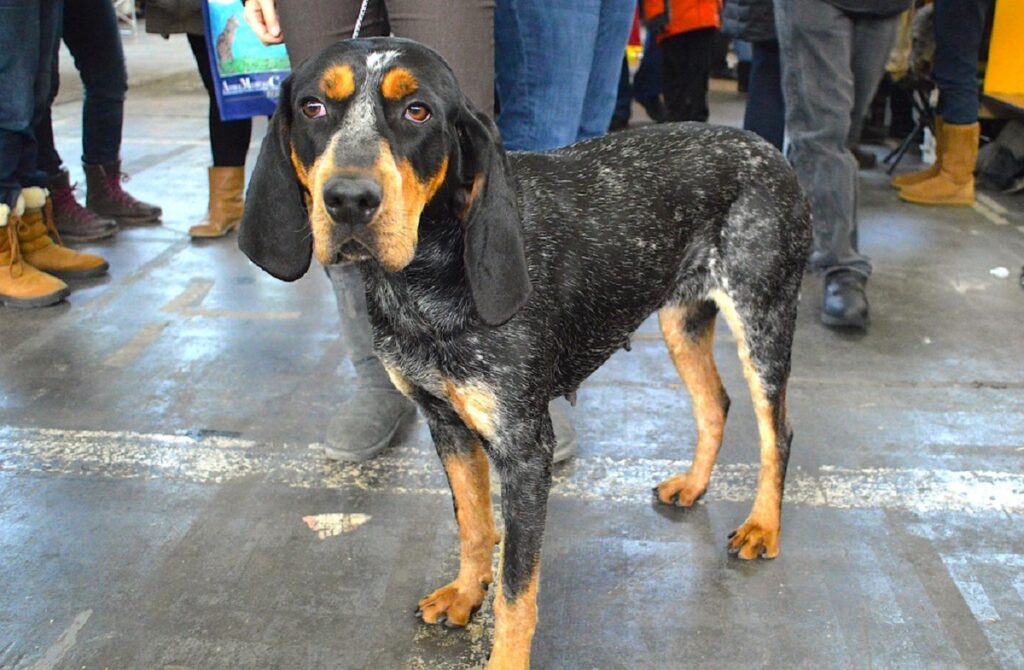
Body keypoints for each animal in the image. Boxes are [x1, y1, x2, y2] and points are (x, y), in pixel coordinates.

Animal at [235, 36, 811, 670]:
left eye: (418, 111)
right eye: (312, 107)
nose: (349, 200)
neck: (427, 279)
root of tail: (768, 148)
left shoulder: (525, 450)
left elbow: (516, 589)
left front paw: (504, 653)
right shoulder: (447, 424)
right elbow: (472, 525)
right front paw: (465, 594)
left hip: (763, 318)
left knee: (776, 431)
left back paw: (762, 527)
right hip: (681, 321)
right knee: (715, 403)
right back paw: (694, 485)